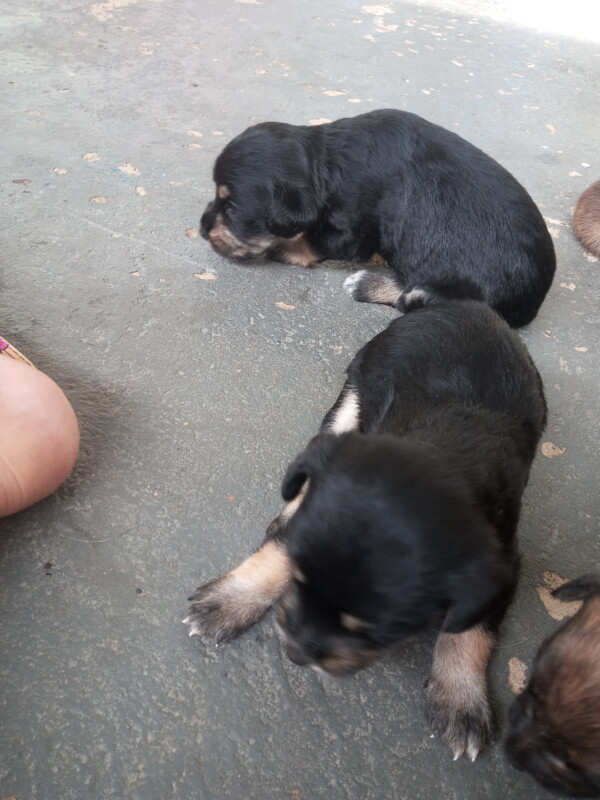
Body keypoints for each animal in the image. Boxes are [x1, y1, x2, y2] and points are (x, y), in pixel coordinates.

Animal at [185, 296, 548, 760]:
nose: (295, 654)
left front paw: (460, 701)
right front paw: (231, 601)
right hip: (352, 397)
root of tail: (463, 303)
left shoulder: (503, 560)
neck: (444, 451)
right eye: (299, 583)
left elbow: (470, 628)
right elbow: (284, 543)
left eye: (373, 632)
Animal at [199, 109, 556, 328]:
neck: (325, 162)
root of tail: (533, 304)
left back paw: (368, 284)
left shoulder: (352, 227)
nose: (202, 229)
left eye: (232, 209)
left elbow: (310, 242)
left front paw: (281, 249)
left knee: (414, 298)